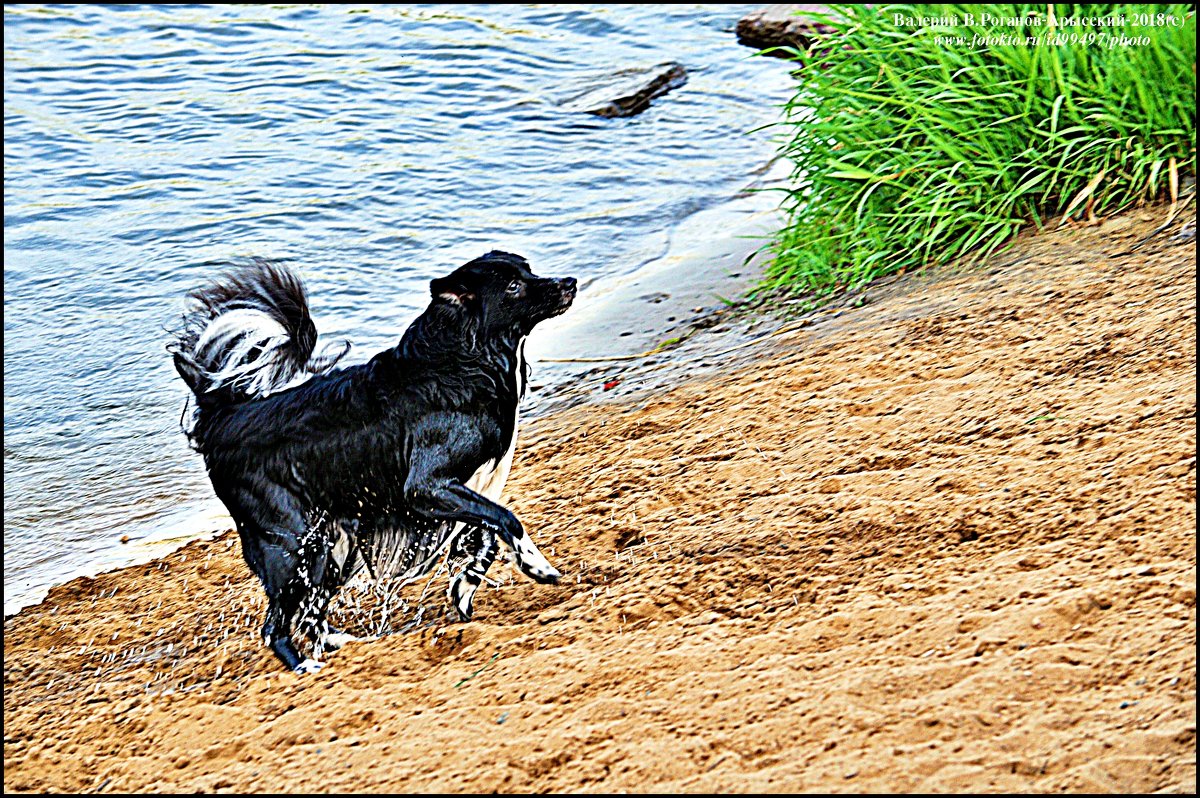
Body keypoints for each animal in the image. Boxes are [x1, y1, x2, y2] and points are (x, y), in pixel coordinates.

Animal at [171, 252, 578, 667]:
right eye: (513, 286)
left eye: (527, 270)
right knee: (275, 626)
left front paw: (464, 588)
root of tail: (222, 415)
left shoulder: (464, 488)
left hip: (329, 545)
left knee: (310, 610)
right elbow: (506, 519)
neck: (462, 360)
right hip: (292, 541)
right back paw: (305, 665)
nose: (570, 283)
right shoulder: (425, 488)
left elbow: (486, 535)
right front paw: (537, 566)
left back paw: (340, 643)